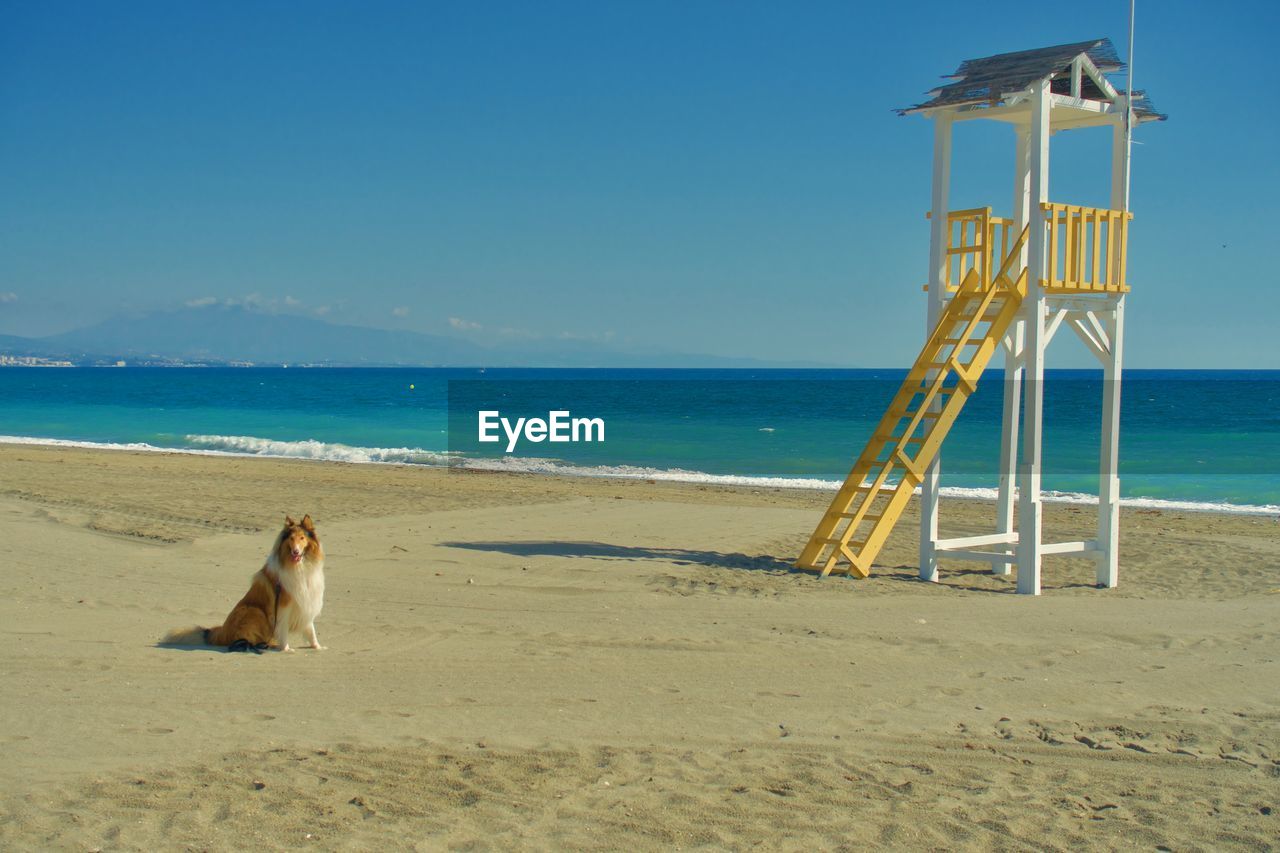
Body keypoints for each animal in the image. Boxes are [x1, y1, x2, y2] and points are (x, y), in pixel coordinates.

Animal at [160, 512, 327, 650]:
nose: (295, 552)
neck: (300, 566)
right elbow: (284, 629)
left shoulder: (307, 600)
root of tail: (221, 632)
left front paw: (317, 647)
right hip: (254, 611)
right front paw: (286, 649)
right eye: (291, 539)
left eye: (302, 538)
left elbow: (311, 629)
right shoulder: (283, 606)